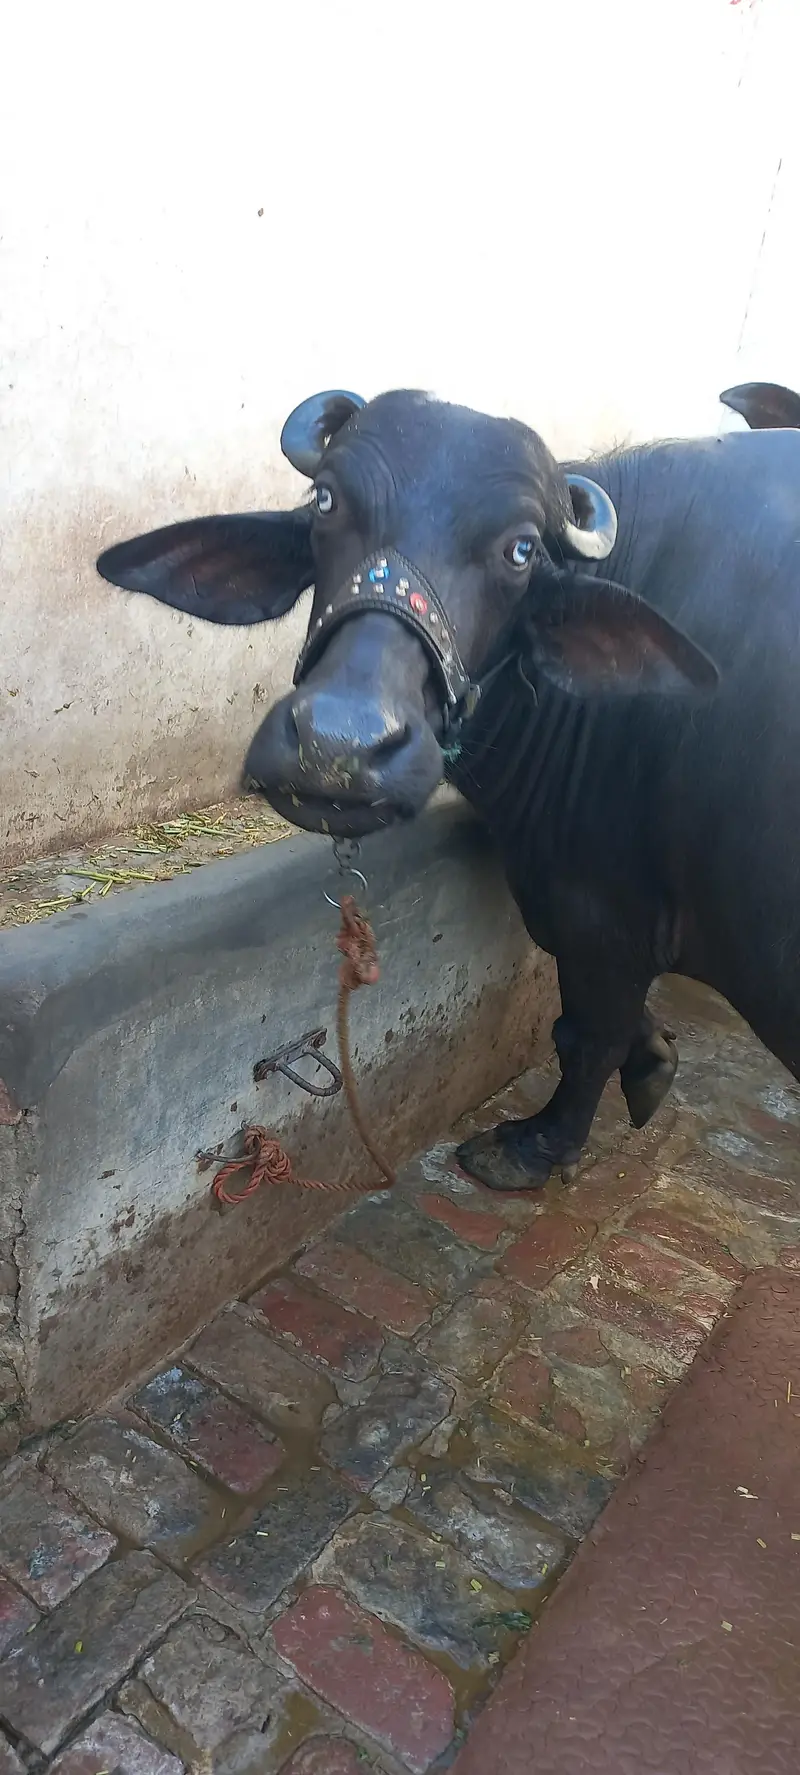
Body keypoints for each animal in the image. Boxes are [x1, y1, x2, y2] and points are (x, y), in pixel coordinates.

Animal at [98, 378, 800, 1191]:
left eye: (521, 550)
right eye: (327, 501)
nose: (338, 744)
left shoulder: (599, 913)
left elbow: (586, 1033)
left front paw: (535, 1144)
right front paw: (653, 1060)